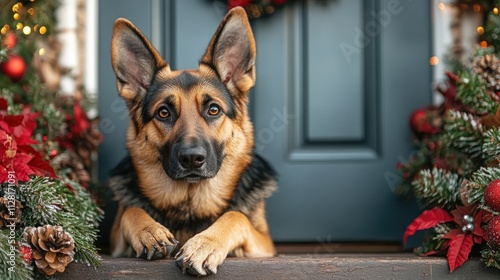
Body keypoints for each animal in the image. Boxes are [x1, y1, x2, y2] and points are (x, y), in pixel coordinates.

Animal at [107, 7, 278, 276]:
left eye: (213, 109)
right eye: (163, 112)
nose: (191, 159)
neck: (190, 203)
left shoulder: (265, 243)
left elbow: (236, 216)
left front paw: (205, 244)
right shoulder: (115, 242)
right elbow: (132, 210)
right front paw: (150, 231)